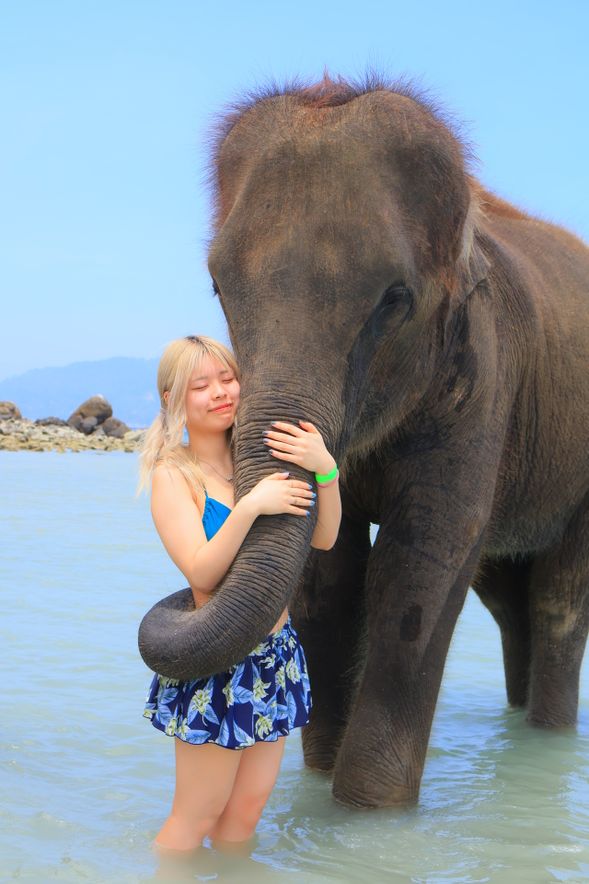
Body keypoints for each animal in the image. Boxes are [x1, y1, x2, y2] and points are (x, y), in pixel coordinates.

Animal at [139, 74, 589, 808]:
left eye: (393, 300)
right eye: (217, 284)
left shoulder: (483, 377)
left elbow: (421, 561)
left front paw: (367, 811)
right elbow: (327, 575)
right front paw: (321, 780)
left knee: (558, 597)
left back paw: (549, 733)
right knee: (507, 596)